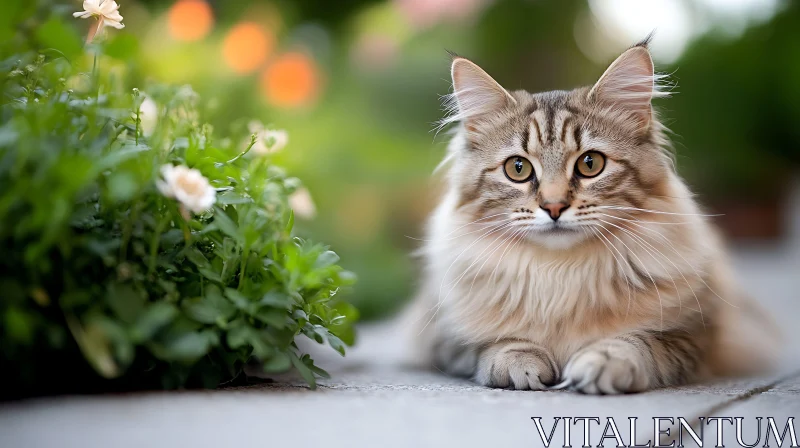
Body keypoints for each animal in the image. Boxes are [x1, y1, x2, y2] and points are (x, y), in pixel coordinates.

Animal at [412, 36, 780, 394]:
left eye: (590, 164)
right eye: (518, 169)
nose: (554, 206)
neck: (560, 273)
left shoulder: (694, 333)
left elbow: (640, 343)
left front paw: (602, 363)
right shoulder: (442, 334)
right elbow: (493, 345)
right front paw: (520, 362)